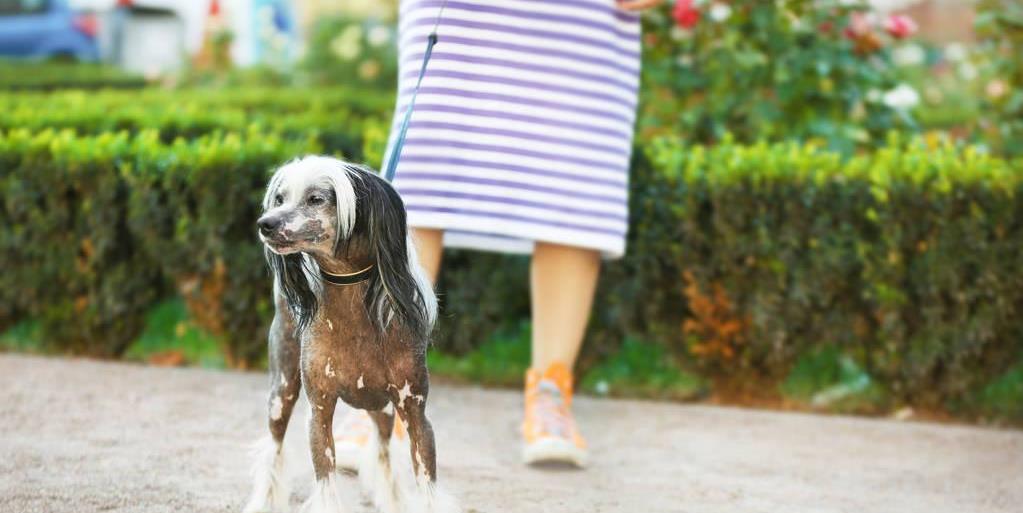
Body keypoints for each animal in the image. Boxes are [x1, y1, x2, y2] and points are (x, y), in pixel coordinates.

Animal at [241, 154, 458, 511]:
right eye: (280, 198)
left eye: (316, 199)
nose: (265, 223)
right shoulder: (319, 411)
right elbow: (325, 481)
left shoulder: (415, 412)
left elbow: (425, 483)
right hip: (281, 391)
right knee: (273, 447)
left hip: (383, 410)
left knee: (384, 452)